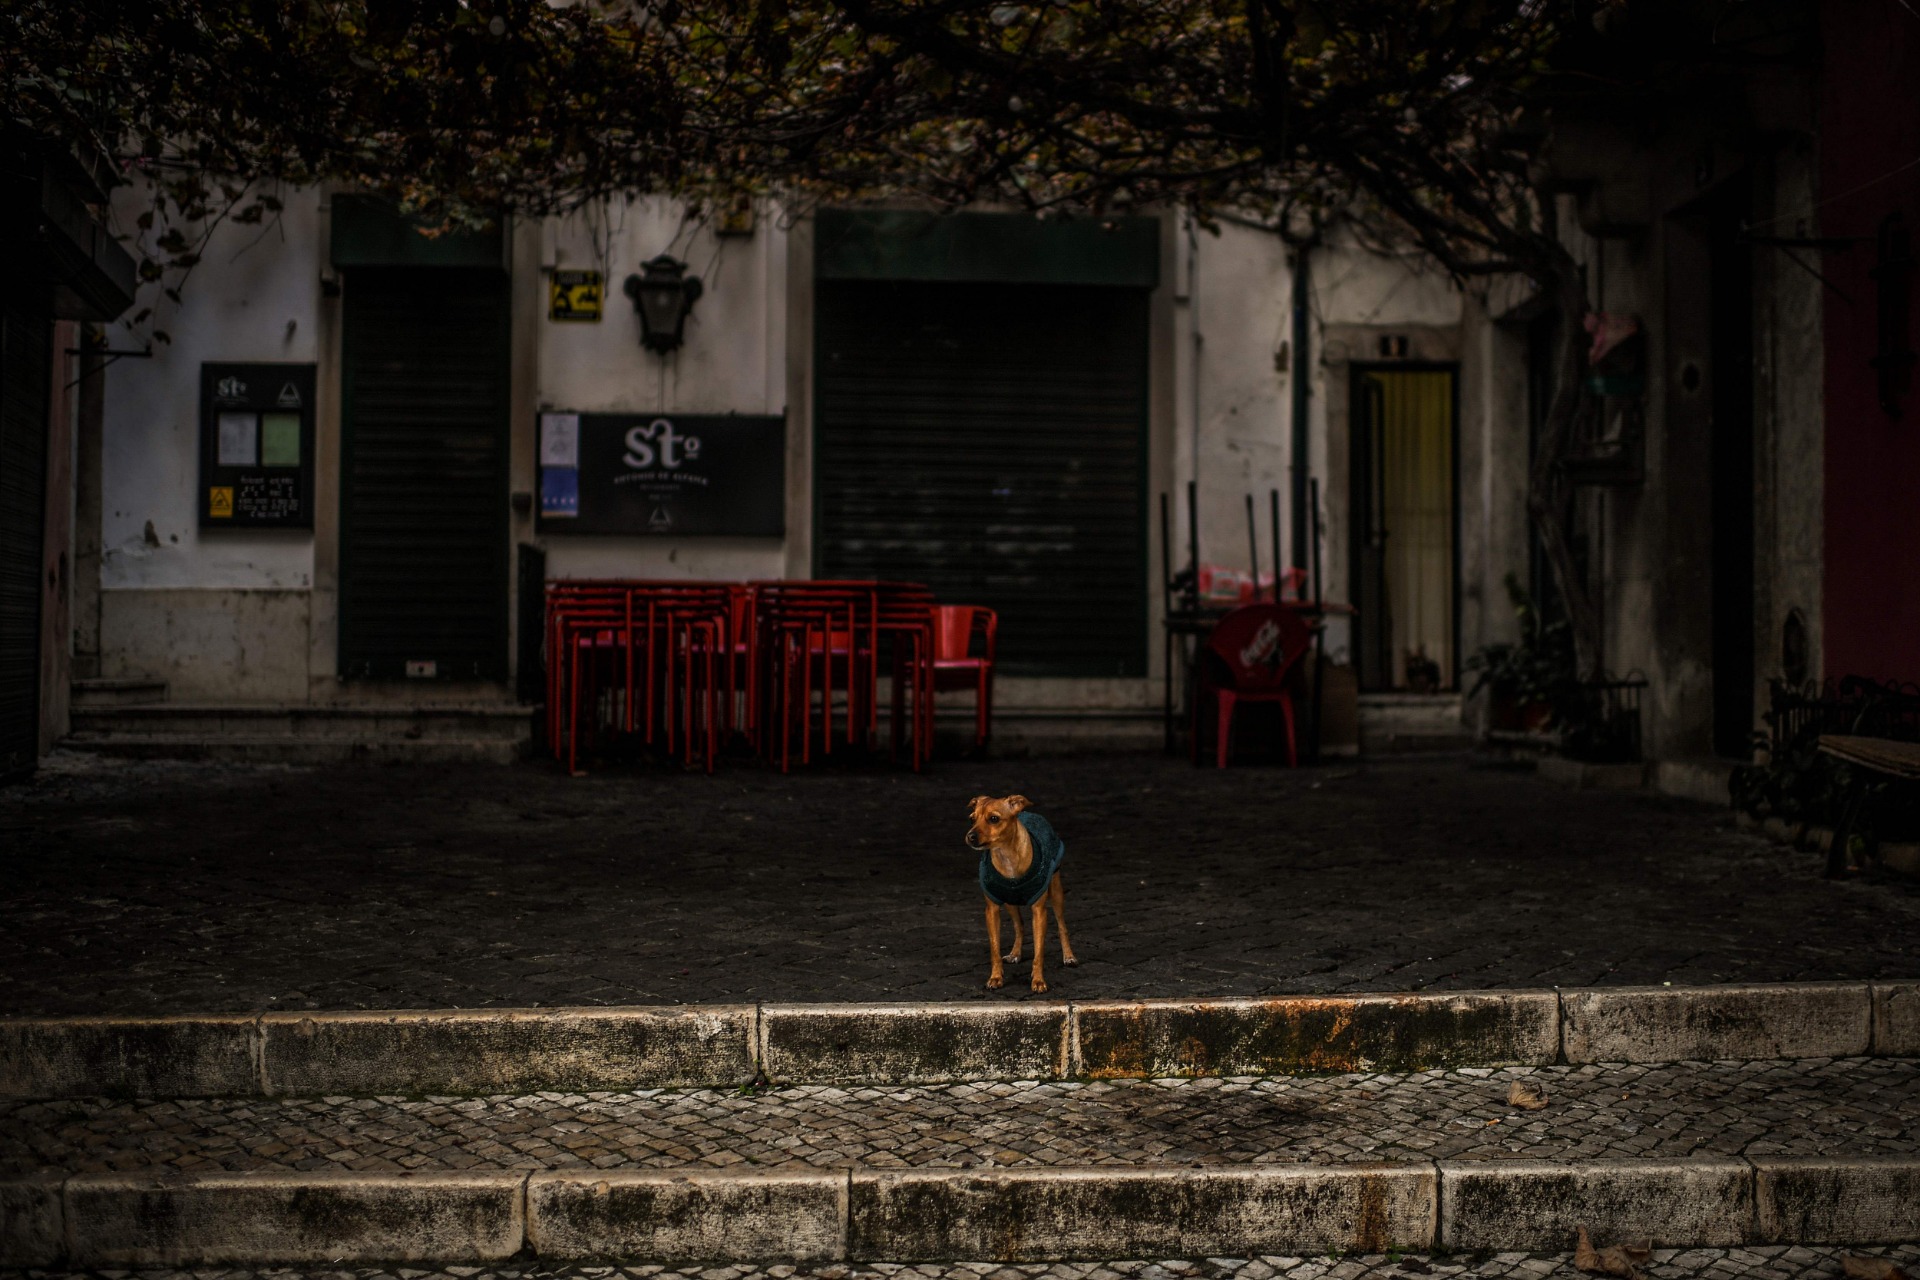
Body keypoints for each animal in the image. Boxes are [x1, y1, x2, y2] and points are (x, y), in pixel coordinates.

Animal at [960, 794, 1082, 997]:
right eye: (972, 819)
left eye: (994, 819)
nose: (970, 836)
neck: (1007, 857)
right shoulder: (991, 910)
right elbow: (994, 948)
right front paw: (995, 978)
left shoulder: (1039, 912)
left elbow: (1039, 951)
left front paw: (1038, 981)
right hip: (1010, 903)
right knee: (1020, 925)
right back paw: (1015, 953)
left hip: (1056, 893)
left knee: (1062, 926)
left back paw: (1069, 956)